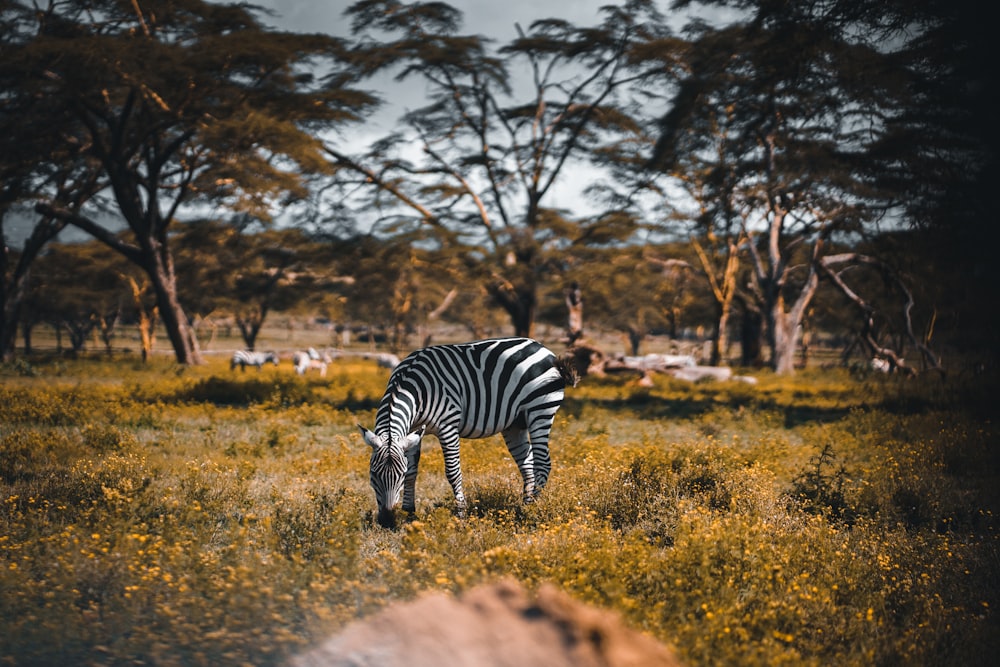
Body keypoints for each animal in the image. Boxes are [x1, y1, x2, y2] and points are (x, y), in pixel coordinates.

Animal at [360, 336, 580, 528]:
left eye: (398, 475)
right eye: (373, 474)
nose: (387, 522)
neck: (412, 387)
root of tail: (543, 348)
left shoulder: (447, 426)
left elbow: (453, 472)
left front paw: (461, 515)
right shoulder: (413, 431)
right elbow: (413, 471)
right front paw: (409, 515)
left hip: (540, 410)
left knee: (542, 463)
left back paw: (532, 510)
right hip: (515, 424)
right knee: (527, 464)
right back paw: (523, 509)